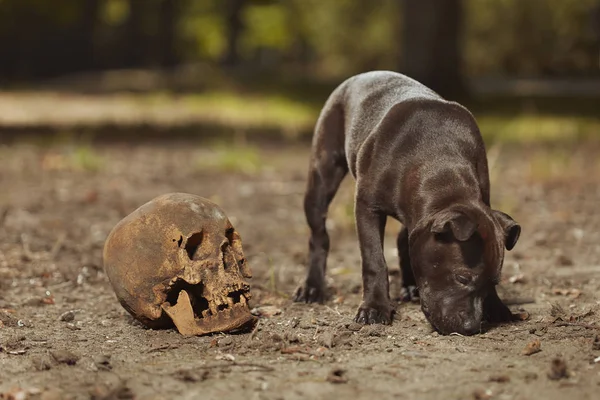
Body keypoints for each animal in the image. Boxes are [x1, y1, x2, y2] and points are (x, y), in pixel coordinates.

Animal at [294, 71, 520, 334]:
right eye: (462, 278)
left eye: (493, 281)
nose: (471, 327)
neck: (440, 166)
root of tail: (359, 76)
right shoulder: (367, 208)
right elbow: (374, 261)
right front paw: (375, 308)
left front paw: (496, 306)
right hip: (321, 178)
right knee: (319, 235)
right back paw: (312, 287)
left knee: (403, 240)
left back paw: (411, 287)